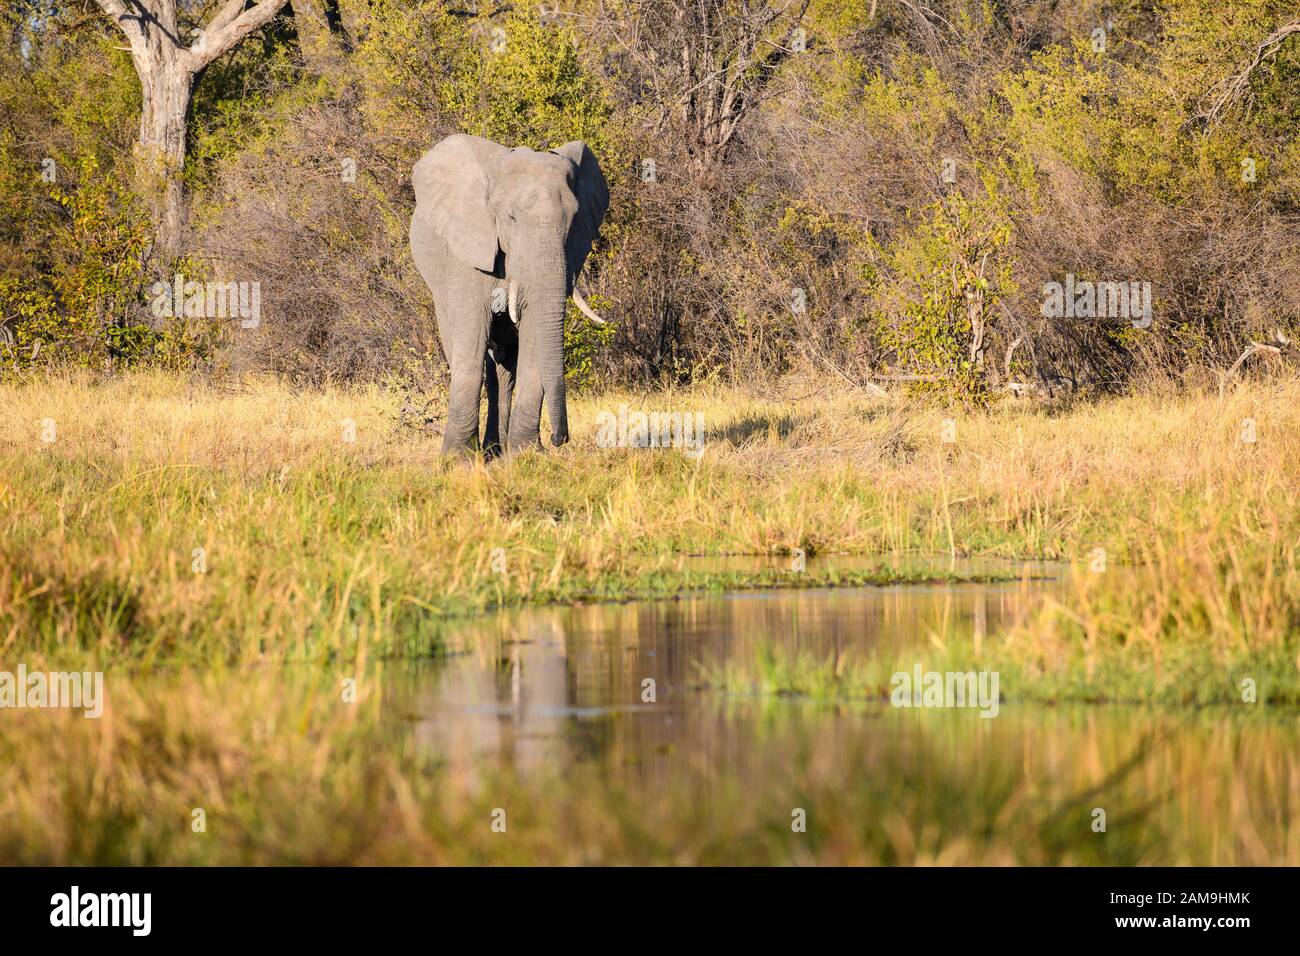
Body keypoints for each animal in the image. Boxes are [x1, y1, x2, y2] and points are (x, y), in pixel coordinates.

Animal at [405, 132, 608, 457]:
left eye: (573, 220)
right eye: (511, 218)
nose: (559, 439)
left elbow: (533, 339)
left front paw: (526, 453)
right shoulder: (467, 252)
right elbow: (471, 340)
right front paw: (457, 459)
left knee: (503, 366)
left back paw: (495, 452)